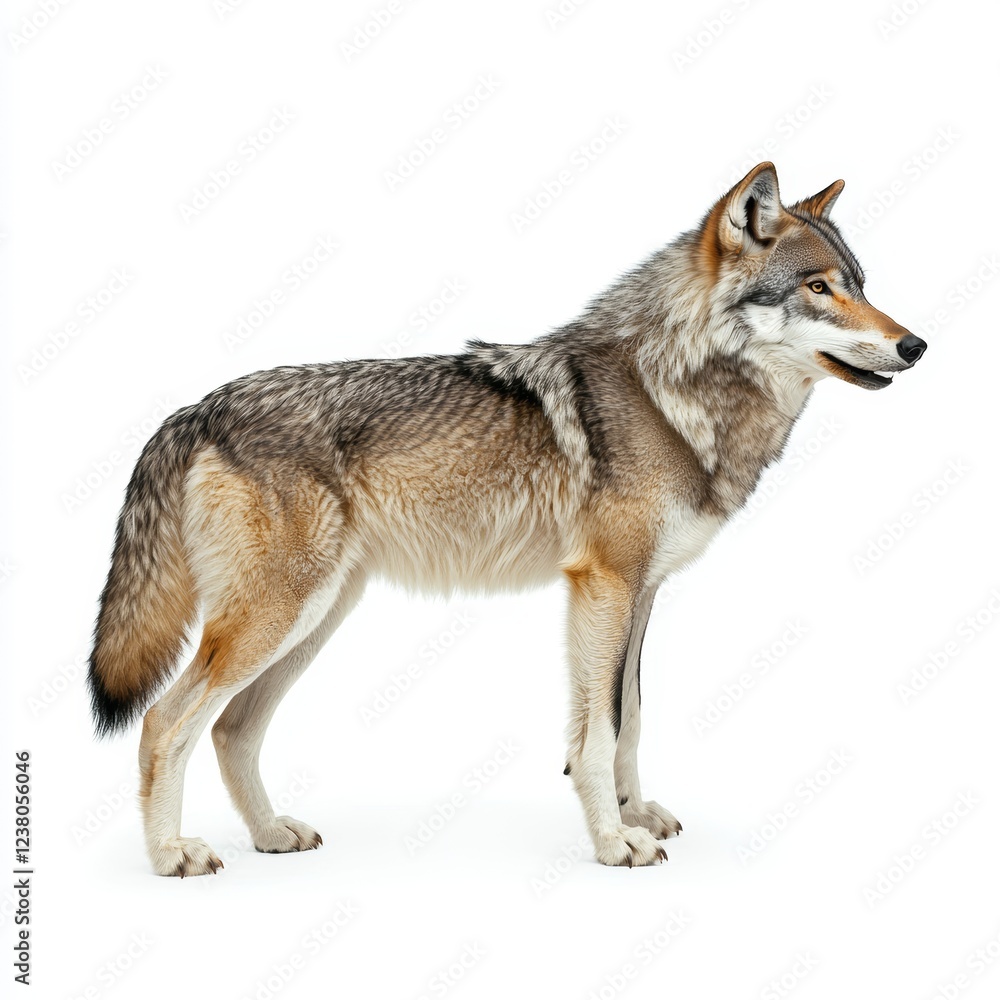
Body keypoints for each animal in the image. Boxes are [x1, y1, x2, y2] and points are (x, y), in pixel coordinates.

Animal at [88, 162, 925, 875]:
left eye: (859, 284)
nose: (914, 344)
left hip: (313, 620)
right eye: (818, 287)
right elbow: (598, 734)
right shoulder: (603, 586)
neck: (671, 391)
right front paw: (614, 843)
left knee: (231, 729)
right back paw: (173, 856)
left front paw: (634, 816)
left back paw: (269, 835)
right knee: (165, 723)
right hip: (278, 617)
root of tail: (196, 409)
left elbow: (630, 716)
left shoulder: (643, 593)